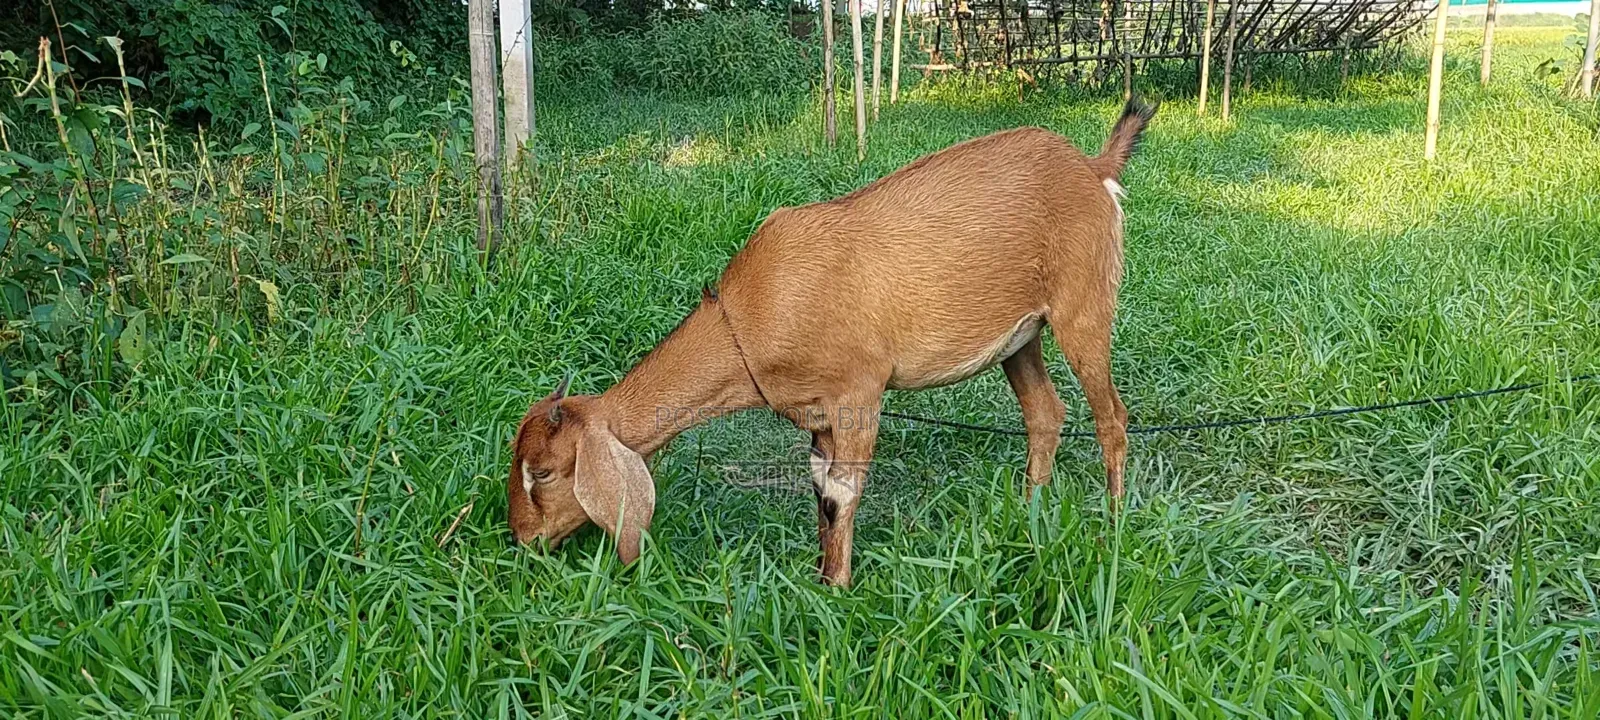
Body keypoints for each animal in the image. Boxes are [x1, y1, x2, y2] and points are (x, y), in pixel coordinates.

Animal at [510, 98, 1157, 587]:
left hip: (1084, 307)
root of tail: (1093, 167)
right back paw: (1030, 511)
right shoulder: (815, 414)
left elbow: (843, 493)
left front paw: (839, 588)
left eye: (543, 473)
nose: (521, 538)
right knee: (1046, 413)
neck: (748, 317)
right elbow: (821, 490)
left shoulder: (859, 392)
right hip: (1020, 339)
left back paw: (1113, 521)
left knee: (1112, 417)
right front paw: (820, 575)